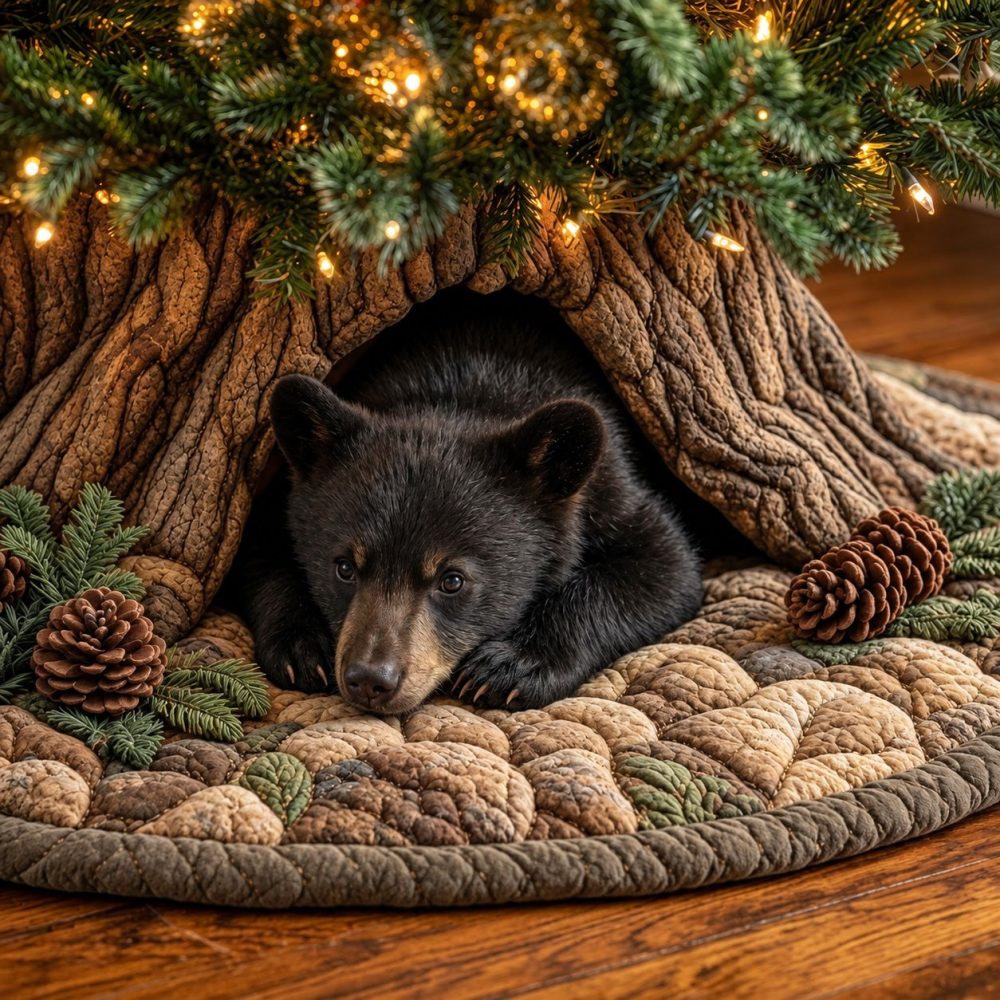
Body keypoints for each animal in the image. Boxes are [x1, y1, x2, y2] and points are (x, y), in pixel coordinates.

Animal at [239, 296, 704, 714]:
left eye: (453, 580)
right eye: (344, 567)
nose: (370, 678)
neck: (459, 395)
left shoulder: (612, 490)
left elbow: (666, 568)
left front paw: (511, 665)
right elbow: (261, 550)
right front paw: (301, 645)